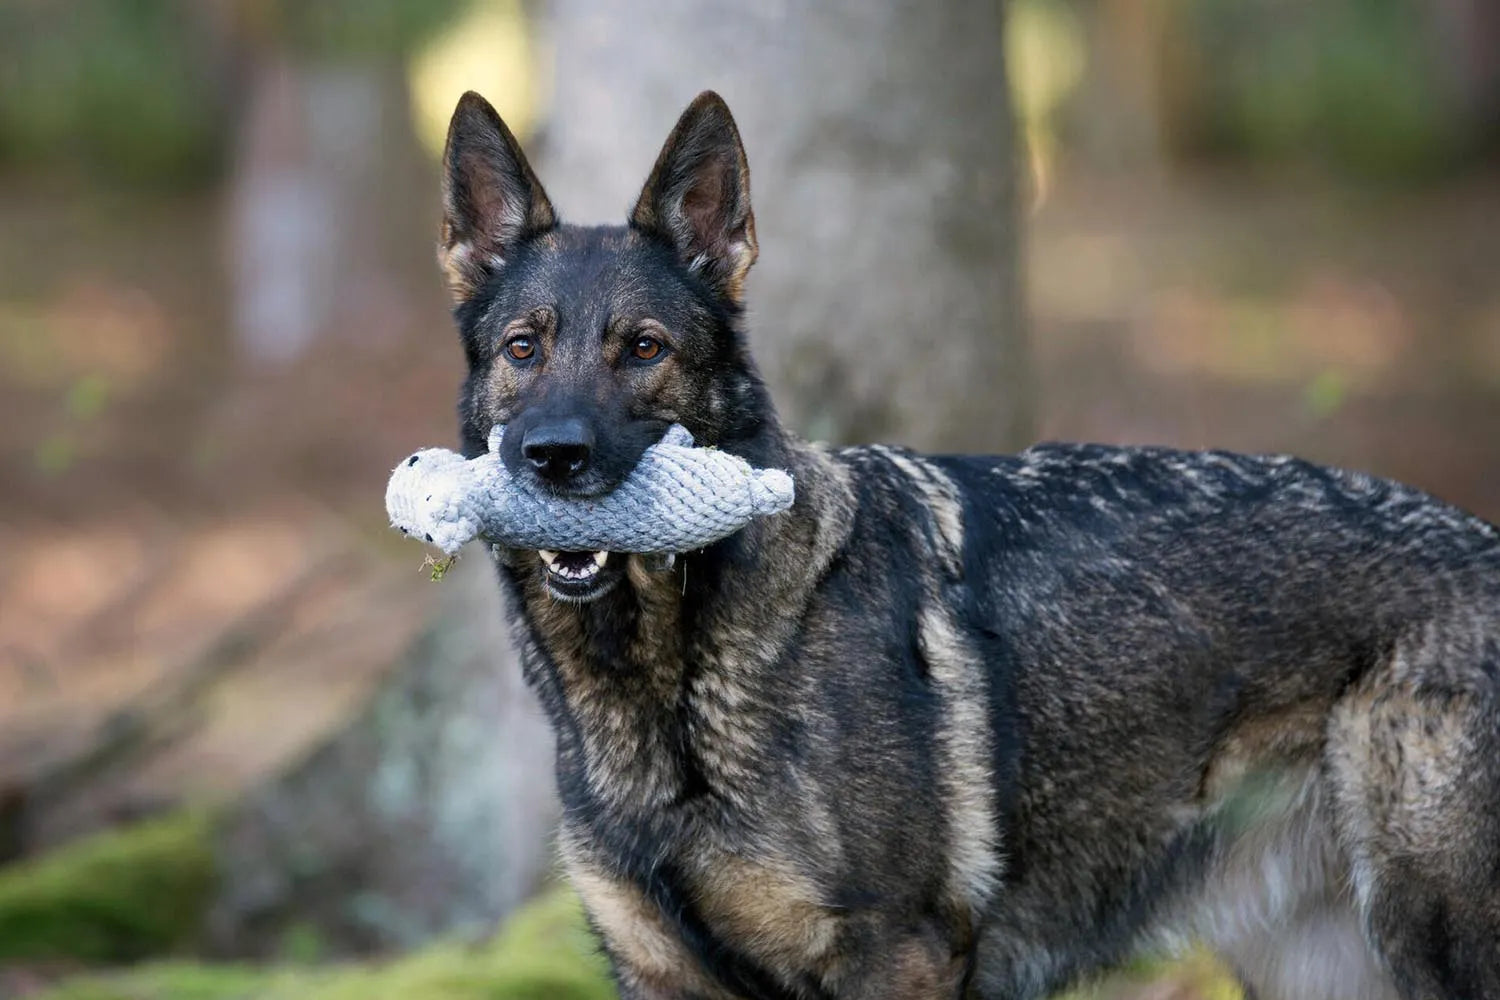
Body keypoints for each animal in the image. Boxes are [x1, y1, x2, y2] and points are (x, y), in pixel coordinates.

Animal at [438, 88, 1500, 1000]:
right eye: (524, 349)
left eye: (645, 350)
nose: (552, 457)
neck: (671, 682)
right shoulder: (659, 975)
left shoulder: (899, 956)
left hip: (1435, 939)